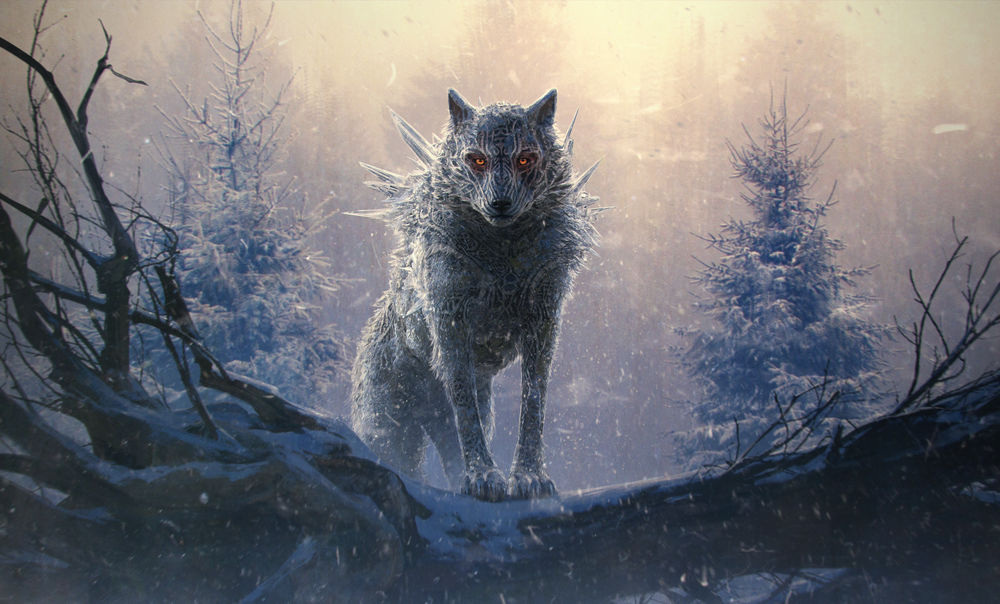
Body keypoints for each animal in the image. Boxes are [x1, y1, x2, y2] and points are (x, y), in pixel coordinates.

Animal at [350, 89, 599, 501]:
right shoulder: (450, 326)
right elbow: (465, 410)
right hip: (390, 425)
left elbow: (534, 401)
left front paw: (528, 478)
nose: (500, 203)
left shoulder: (543, 323)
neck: (503, 250)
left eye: (524, 158)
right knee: (401, 452)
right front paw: (484, 476)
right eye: (477, 159)